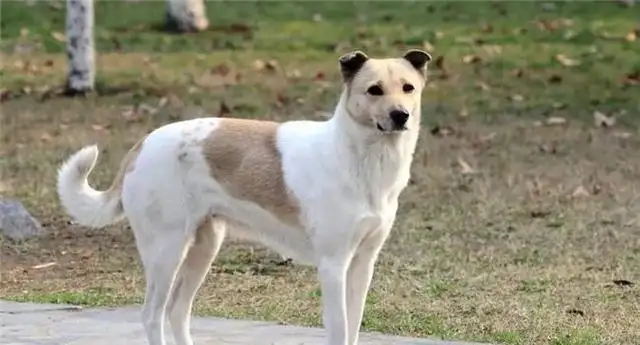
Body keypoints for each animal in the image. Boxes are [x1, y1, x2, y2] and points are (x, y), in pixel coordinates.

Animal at [57, 48, 432, 344]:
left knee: (177, 310)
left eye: (408, 88)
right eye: (374, 90)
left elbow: (353, 328)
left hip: (204, 248)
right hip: (166, 252)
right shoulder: (333, 265)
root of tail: (142, 144)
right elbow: (339, 330)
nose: (401, 115)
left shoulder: (362, 264)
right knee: (152, 314)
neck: (357, 157)